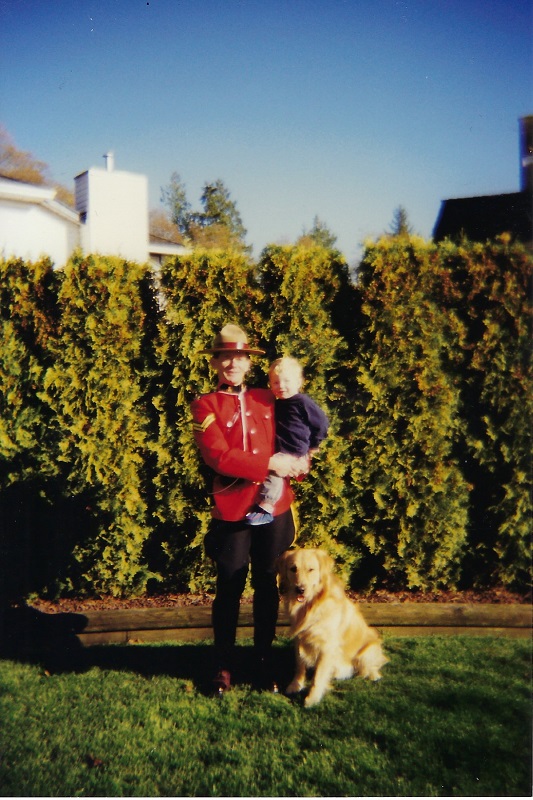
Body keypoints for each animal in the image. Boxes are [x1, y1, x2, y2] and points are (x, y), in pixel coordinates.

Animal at [274, 552, 386, 708]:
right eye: (293, 569)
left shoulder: (326, 647)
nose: (300, 589)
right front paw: (295, 686)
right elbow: (299, 666)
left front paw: (313, 698)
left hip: (368, 651)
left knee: (371, 668)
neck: (311, 606)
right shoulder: (299, 639)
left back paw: (373, 675)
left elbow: (318, 676)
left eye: (311, 569)